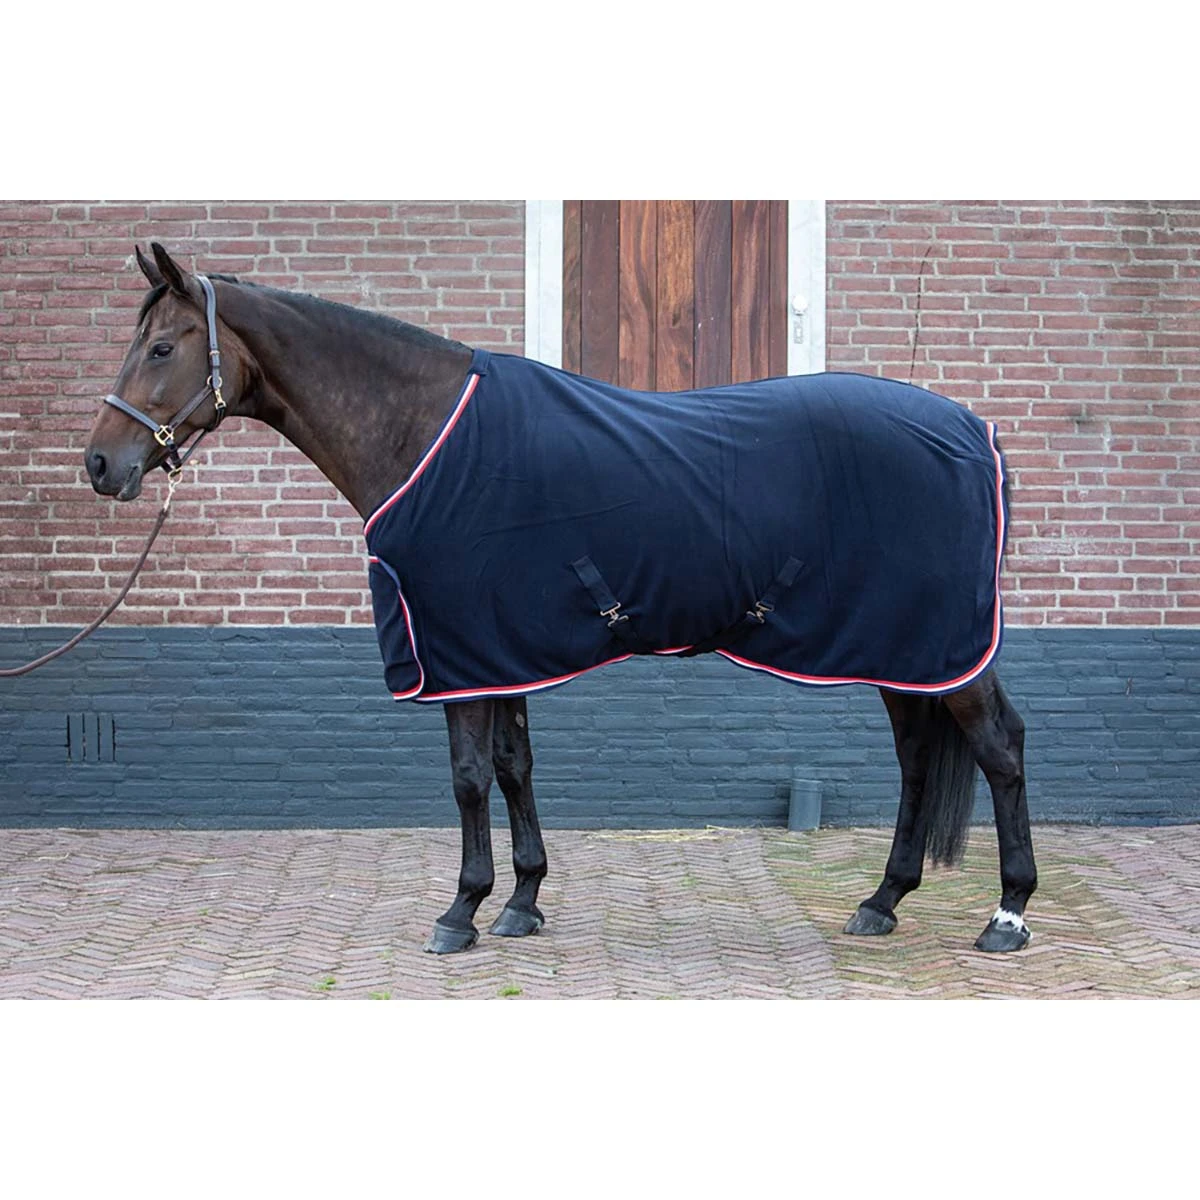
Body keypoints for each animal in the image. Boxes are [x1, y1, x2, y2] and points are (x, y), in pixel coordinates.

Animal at [83, 243, 1037, 956]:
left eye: (161, 348)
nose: (100, 464)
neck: (425, 433)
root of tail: (975, 430)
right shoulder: (498, 648)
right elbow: (515, 767)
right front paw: (522, 902)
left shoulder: (460, 647)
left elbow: (469, 779)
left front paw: (460, 912)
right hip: (904, 647)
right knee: (918, 760)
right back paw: (883, 901)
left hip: (941, 647)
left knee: (999, 748)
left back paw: (1008, 914)